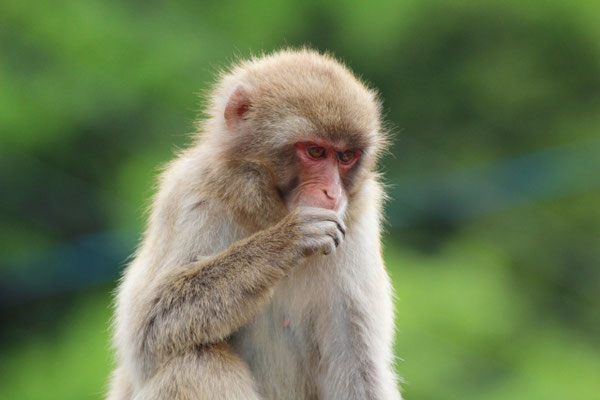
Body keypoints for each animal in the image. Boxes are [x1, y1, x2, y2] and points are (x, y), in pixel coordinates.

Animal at [106, 48, 404, 398]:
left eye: (345, 157)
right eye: (316, 151)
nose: (332, 193)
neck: (270, 213)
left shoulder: (358, 225)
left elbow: (358, 371)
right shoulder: (190, 195)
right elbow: (144, 334)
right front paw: (285, 242)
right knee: (194, 360)